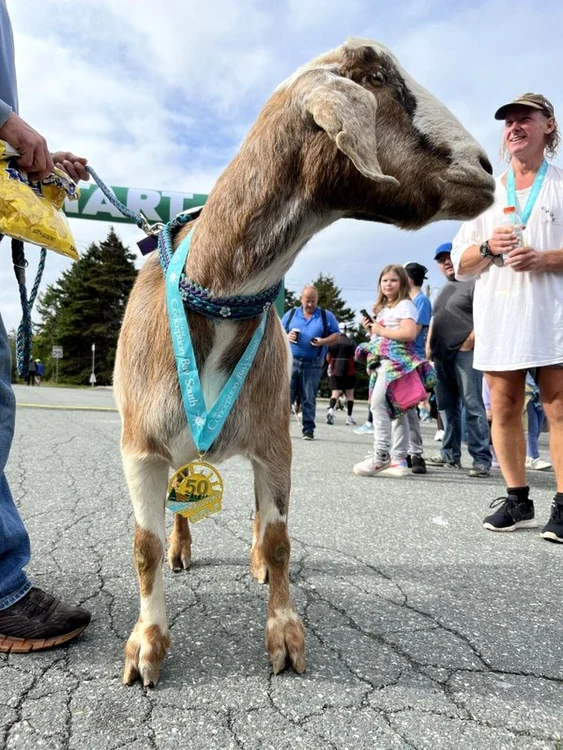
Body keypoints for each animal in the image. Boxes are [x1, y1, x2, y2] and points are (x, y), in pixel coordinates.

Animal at [113, 37, 495, 687]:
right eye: (378, 78)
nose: (488, 167)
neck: (217, 293)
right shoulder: (140, 445)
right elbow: (143, 545)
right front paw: (146, 645)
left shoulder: (274, 440)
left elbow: (279, 540)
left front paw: (285, 637)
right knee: (179, 501)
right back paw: (182, 548)